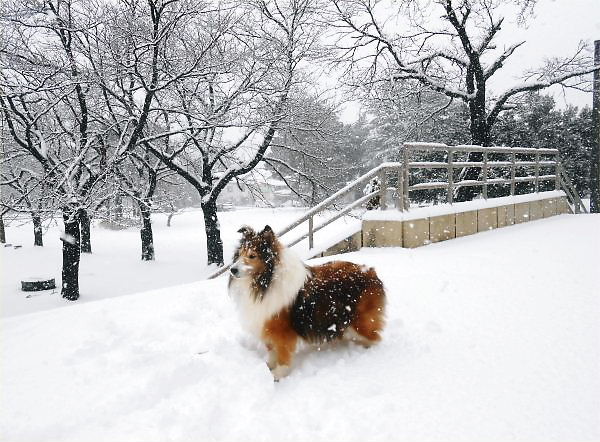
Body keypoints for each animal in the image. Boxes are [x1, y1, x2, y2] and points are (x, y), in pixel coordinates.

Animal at [227, 224, 386, 380]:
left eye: (252, 255)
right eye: (239, 254)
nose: (232, 270)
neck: (266, 282)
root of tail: (371, 271)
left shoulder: (281, 330)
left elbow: (282, 355)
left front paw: (278, 375)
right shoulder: (266, 324)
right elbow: (272, 351)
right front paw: (269, 368)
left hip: (361, 321)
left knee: (375, 337)